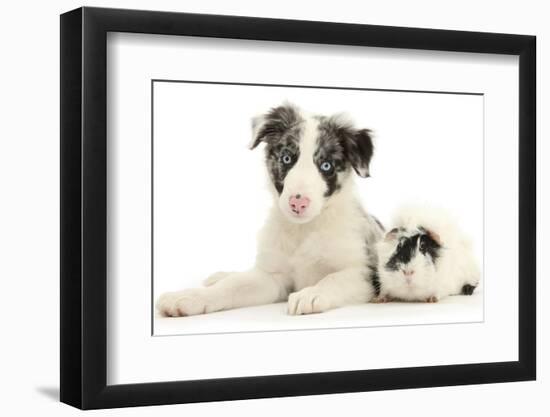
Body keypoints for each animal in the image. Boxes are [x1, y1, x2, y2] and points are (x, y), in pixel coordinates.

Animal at [157, 102, 386, 314]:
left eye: (326, 165)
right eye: (286, 158)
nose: (298, 203)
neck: (304, 230)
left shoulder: (363, 274)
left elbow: (333, 278)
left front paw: (311, 294)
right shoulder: (273, 277)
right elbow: (232, 286)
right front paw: (190, 297)